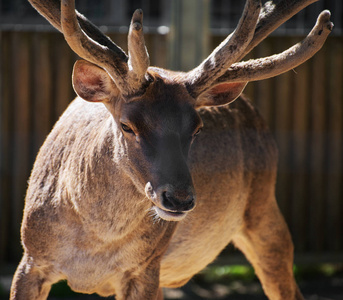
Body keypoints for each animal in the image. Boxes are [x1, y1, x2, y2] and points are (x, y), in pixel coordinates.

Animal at [10, 0, 334, 298]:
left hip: (264, 206)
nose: (179, 199)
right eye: (127, 125)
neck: (94, 246)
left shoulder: (144, 269)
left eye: (198, 128)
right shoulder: (30, 260)